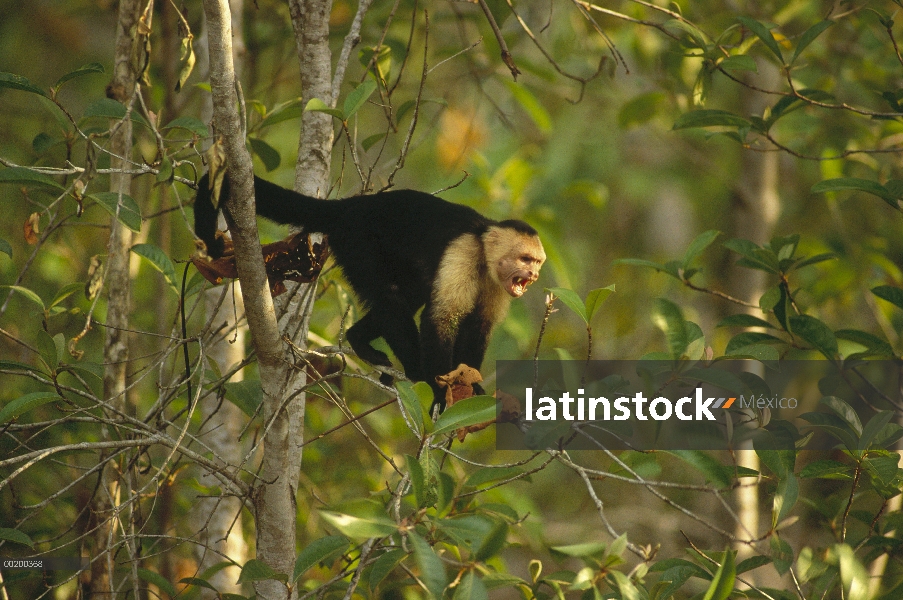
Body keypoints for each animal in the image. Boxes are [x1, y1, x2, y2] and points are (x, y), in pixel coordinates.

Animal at [194, 173, 544, 408]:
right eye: (525, 259)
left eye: (538, 262)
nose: (534, 274)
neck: (484, 252)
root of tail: (354, 205)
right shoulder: (463, 252)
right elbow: (441, 318)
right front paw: (439, 386)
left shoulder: (495, 283)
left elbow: (478, 325)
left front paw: (470, 385)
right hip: (357, 240)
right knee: (392, 297)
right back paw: (414, 371)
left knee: (408, 296)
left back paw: (358, 337)